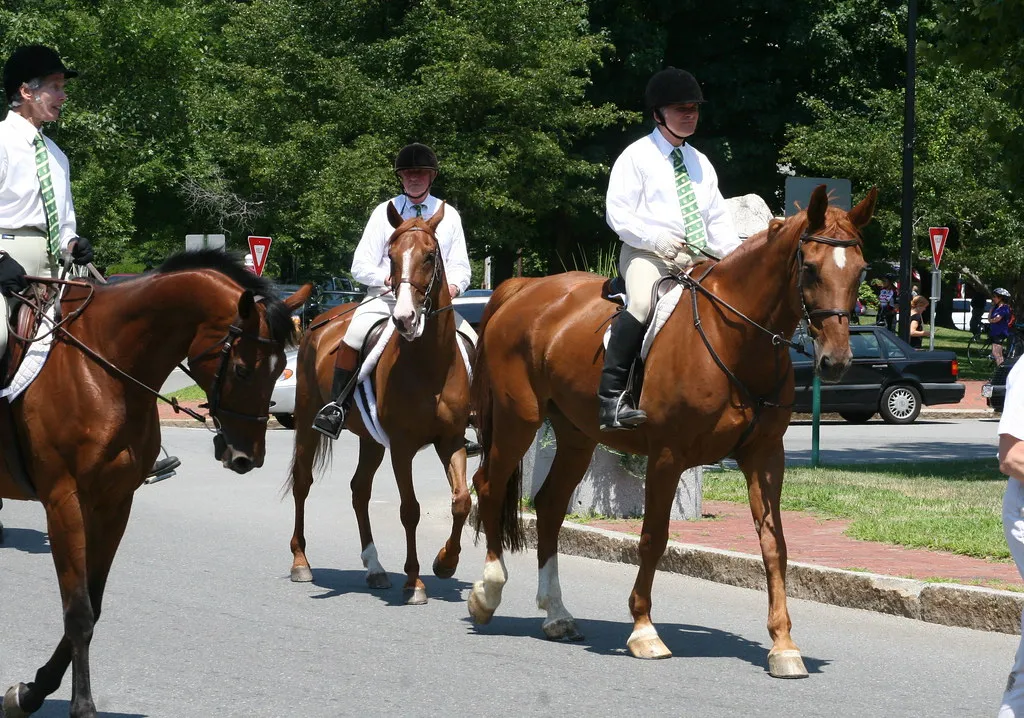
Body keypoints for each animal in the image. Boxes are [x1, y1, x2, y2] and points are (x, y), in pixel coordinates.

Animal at [0, 249, 308, 718]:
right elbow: (78, 610)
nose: (247, 458)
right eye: (241, 369)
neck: (102, 369)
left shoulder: (113, 504)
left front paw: (33, 690)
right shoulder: (63, 501)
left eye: (278, 371)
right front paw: (81, 705)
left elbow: (93, 603)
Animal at [287, 202, 472, 604]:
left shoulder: (451, 440)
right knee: (302, 482)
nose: (404, 318)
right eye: (391, 256)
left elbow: (462, 501)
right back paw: (300, 562)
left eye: (430, 255)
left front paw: (445, 563)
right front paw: (415, 582)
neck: (430, 364)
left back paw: (374, 569)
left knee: (360, 491)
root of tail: (319, 321)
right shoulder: (402, 448)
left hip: (371, 440)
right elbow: (410, 510)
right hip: (308, 419)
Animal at [466, 185, 877, 678]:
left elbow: (774, 544)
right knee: (488, 486)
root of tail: (524, 288)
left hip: (577, 435)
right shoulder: (666, 455)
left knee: (548, 507)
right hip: (518, 421)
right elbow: (653, 539)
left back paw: (557, 615)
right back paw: (488, 592)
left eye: (860, 269)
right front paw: (644, 631)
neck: (735, 339)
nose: (835, 361)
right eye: (810, 267)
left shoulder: (764, 456)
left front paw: (784, 645)